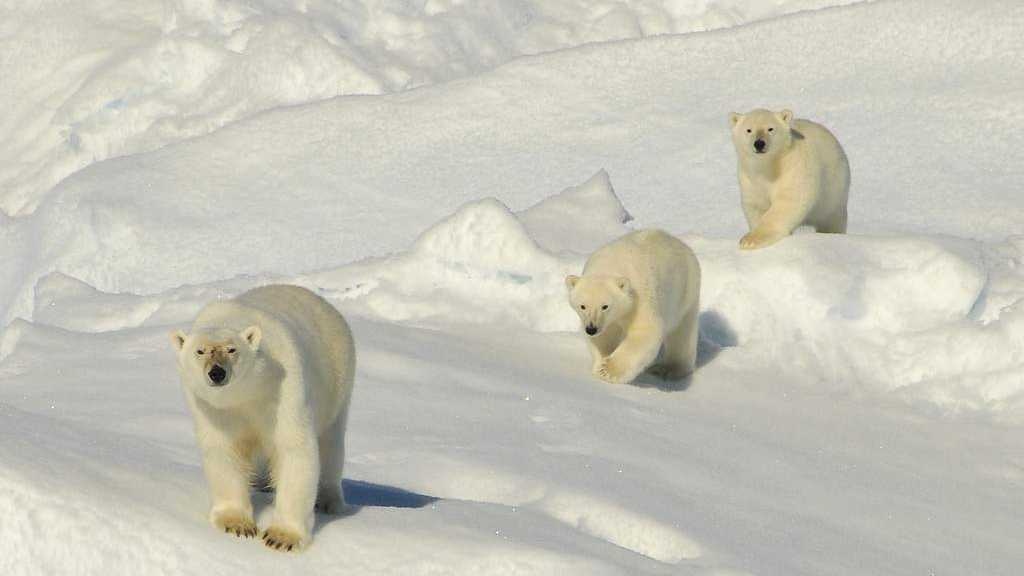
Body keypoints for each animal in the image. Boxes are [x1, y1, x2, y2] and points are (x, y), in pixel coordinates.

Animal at [171, 284, 356, 549]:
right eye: (200, 351)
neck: (248, 392)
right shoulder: (213, 409)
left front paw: (282, 537)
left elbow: (294, 447)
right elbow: (223, 450)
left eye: (232, 349)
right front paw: (236, 524)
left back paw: (328, 501)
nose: (217, 372)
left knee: (331, 445)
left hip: (337, 383)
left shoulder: (284, 388)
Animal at [565, 227, 700, 381]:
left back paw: (670, 368)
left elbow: (645, 331)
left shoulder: (640, 297)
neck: (610, 265)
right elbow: (605, 336)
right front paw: (600, 365)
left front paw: (609, 370)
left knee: (683, 333)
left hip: (685, 292)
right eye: (582, 306)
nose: (591, 329)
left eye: (605, 306)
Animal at [733, 109, 851, 249]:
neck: (769, 167)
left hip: (834, 190)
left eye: (770, 128)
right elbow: (756, 204)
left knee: (832, 218)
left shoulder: (794, 168)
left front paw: (751, 240)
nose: (759, 143)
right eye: (749, 130)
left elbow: (789, 201)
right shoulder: (750, 178)